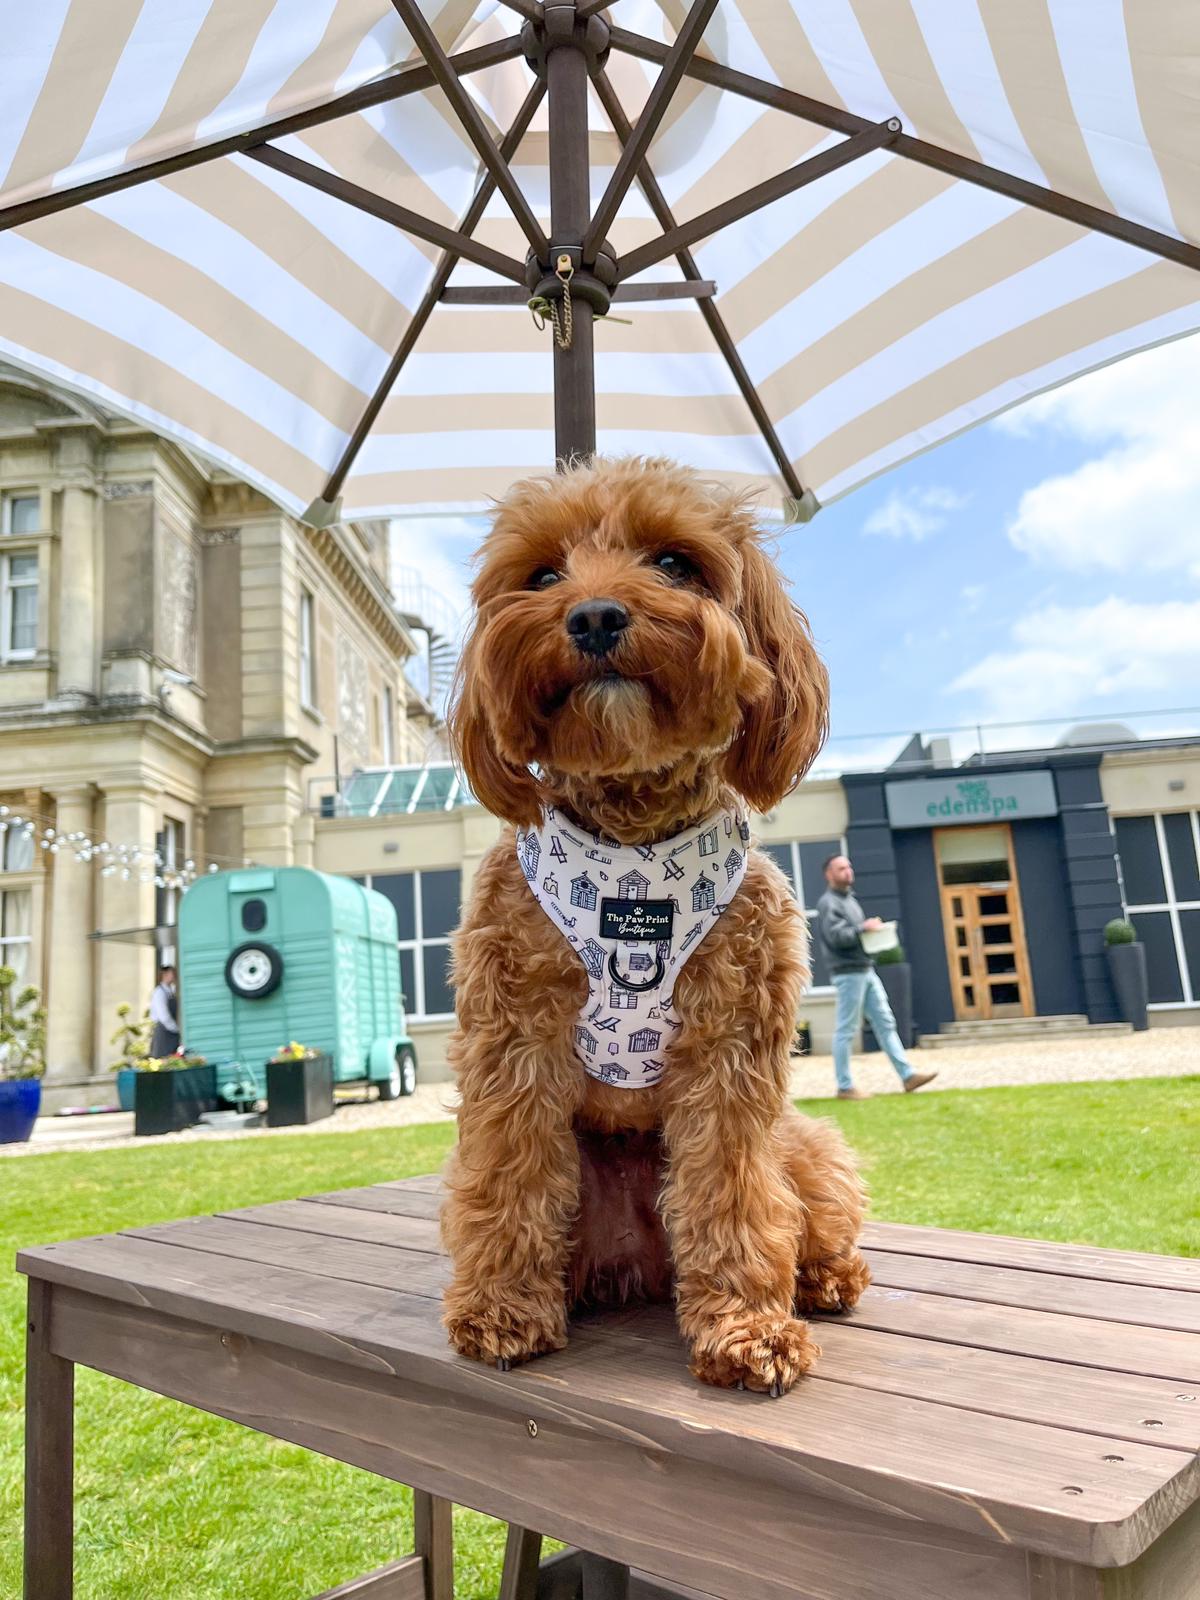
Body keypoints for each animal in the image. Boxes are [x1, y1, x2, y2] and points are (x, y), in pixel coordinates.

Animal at [441, 457, 876, 1395]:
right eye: (543, 576)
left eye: (675, 563)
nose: (596, 615)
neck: (633, 847)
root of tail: (631, 1265)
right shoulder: (512, 1039)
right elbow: (508, 1177)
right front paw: (500, 1311)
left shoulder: (731, 1049)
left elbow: (736, 1193)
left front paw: (749, 1329)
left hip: (803, 1143)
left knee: (803, 1207)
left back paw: (826, 1278)